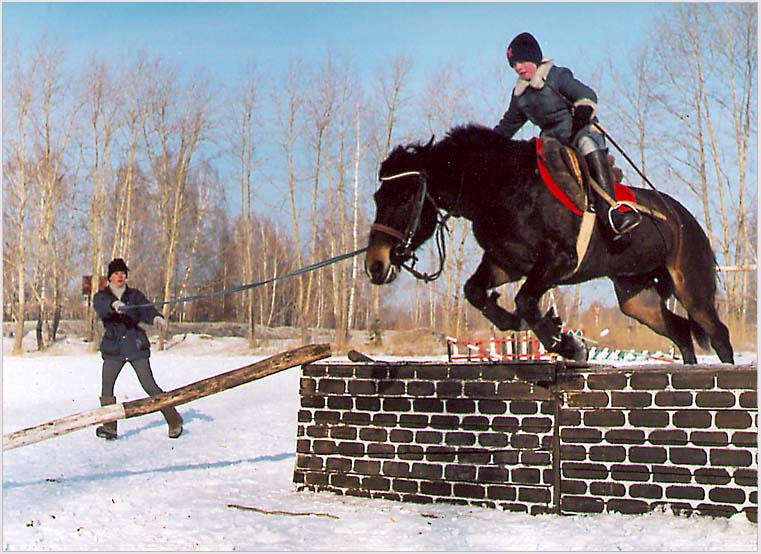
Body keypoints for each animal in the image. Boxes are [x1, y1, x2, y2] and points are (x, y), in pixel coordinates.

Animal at [364, 124, 734, 364]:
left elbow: (526, 299)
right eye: (377, 197)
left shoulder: (557, 262)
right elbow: (476, 291)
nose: (375, 265)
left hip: (692, 289)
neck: (500, 186)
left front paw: (567, 344)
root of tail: (688, 220)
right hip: (637, 298)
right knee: (681, 332)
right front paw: (523, 326)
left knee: (717, 334)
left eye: (404, 196)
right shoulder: (507, 263)